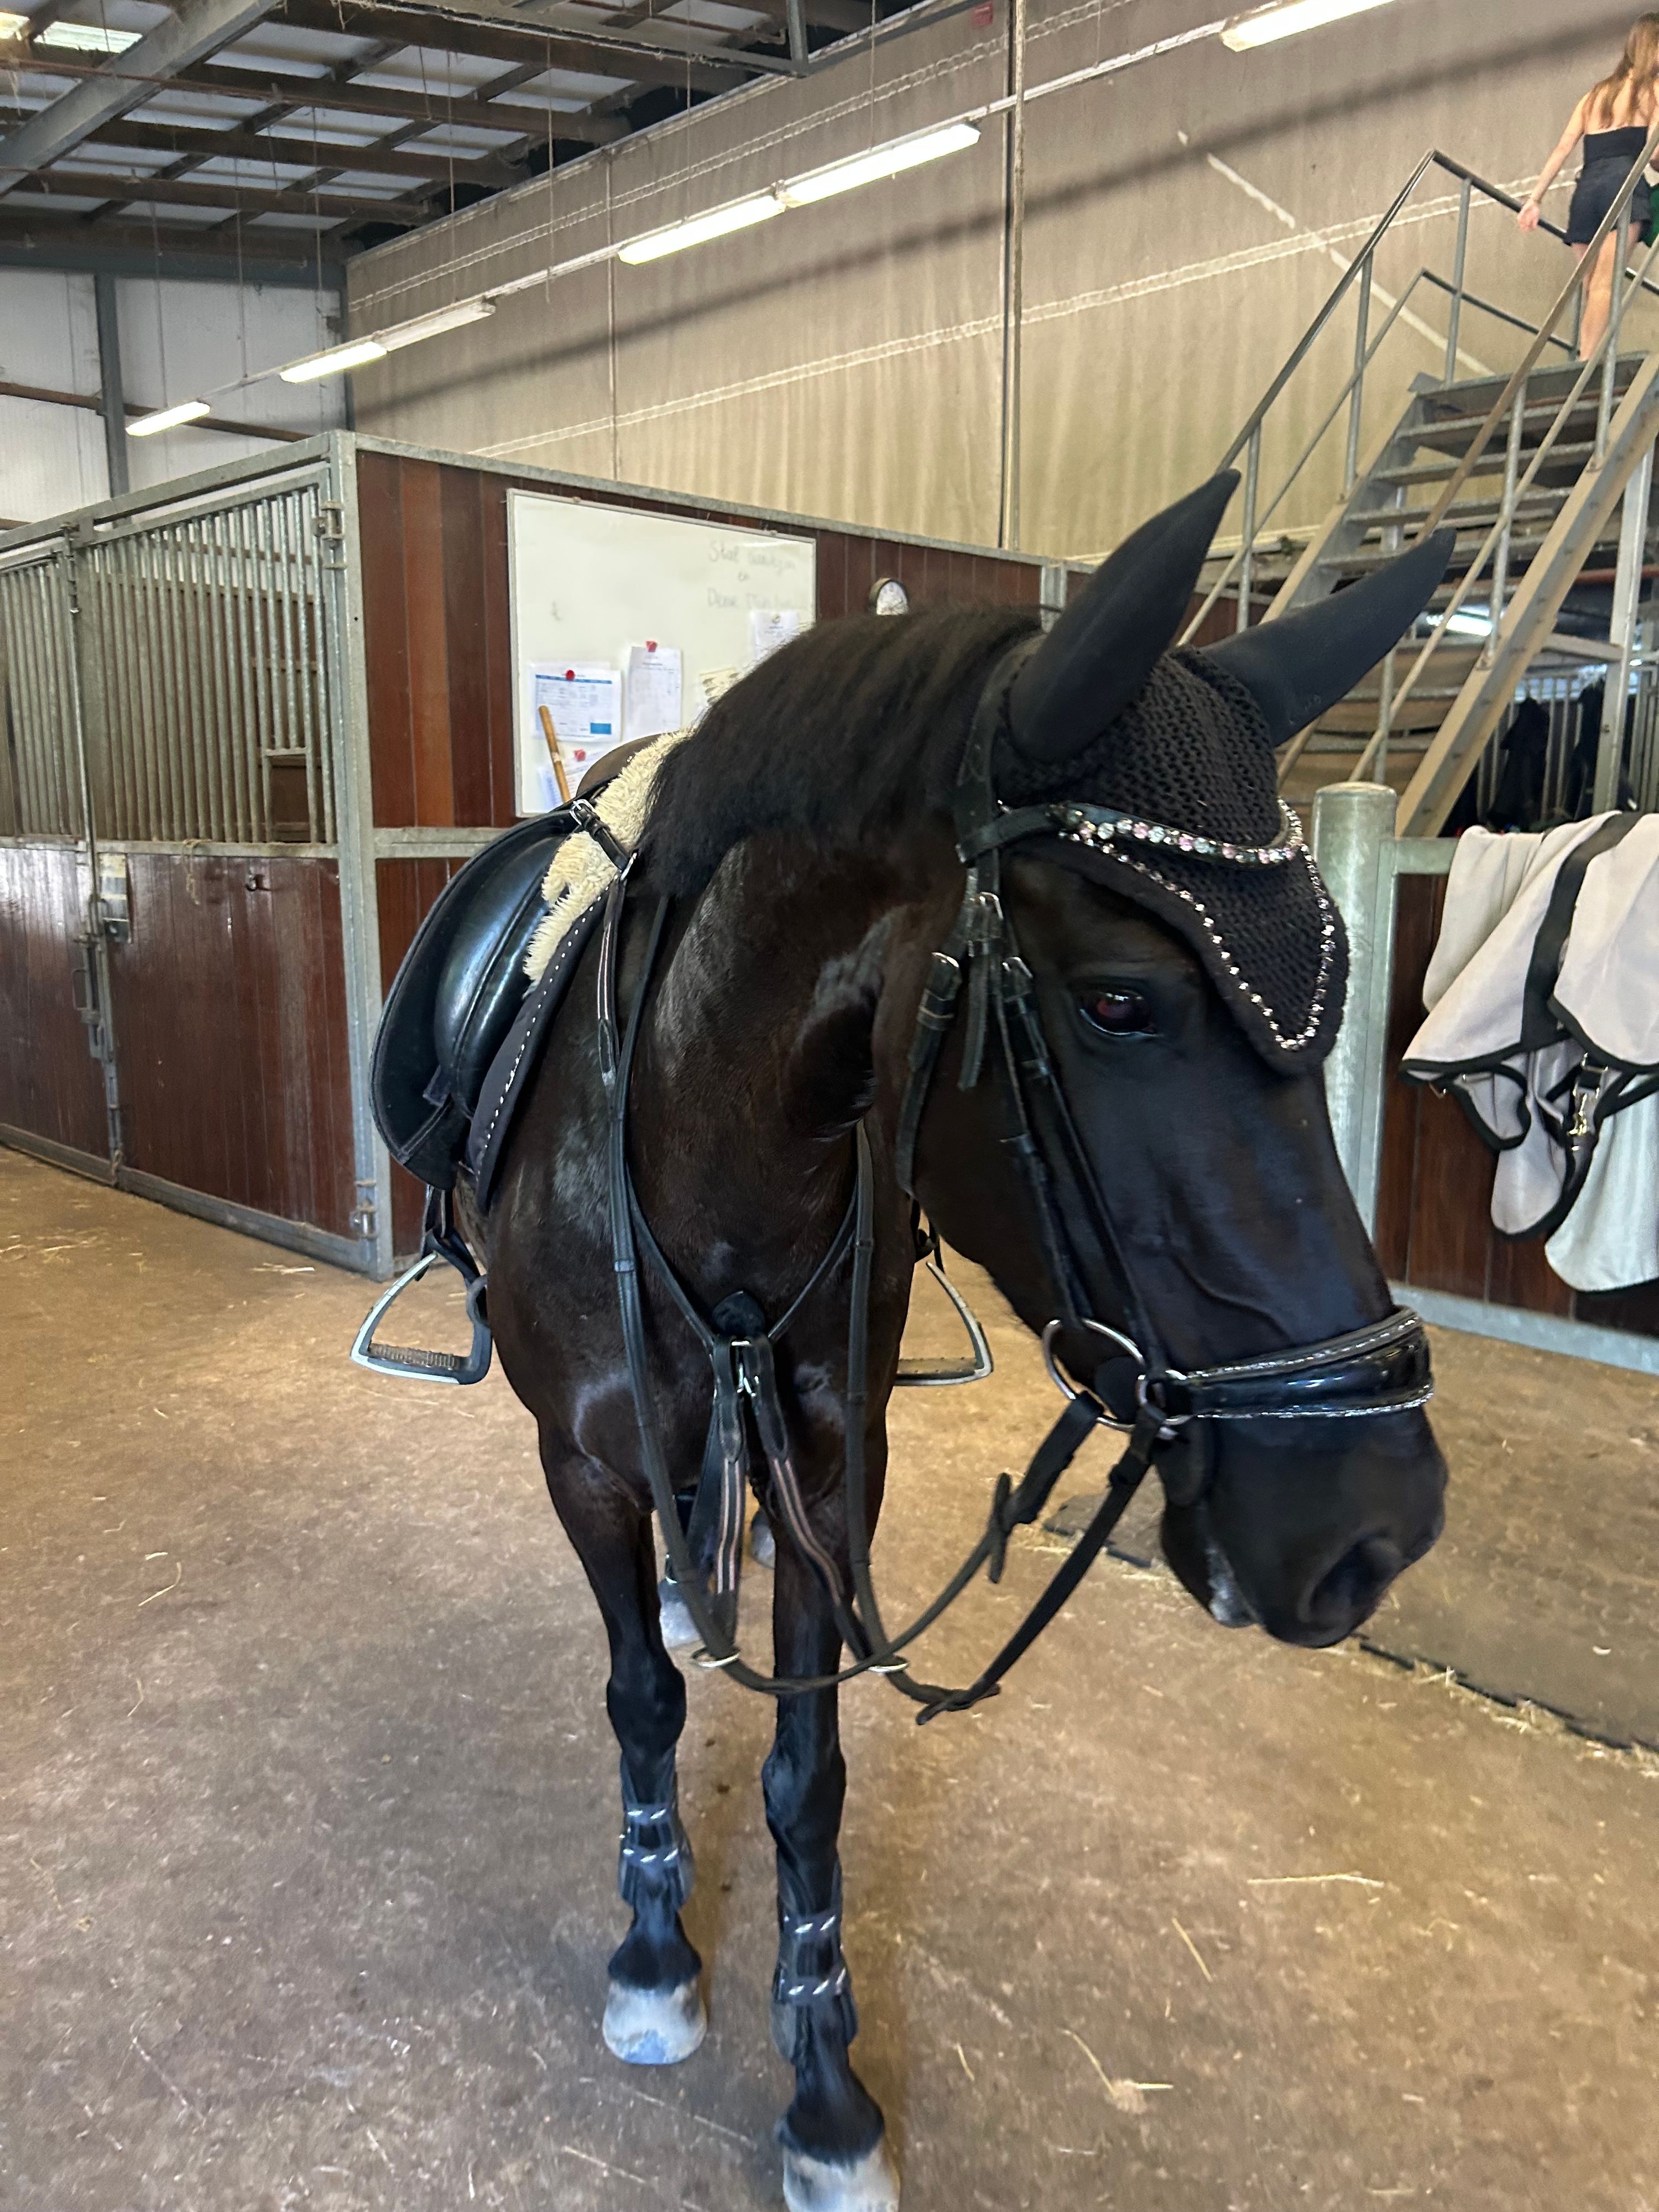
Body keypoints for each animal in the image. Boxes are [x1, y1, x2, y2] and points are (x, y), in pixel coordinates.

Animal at [463, 476, 1451, 2211]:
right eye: (1120, 1001)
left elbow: (808, 1778)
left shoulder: (825, 1477)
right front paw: (654, 1958)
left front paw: (823, 2091)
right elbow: (641, 1702)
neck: (705, 1157)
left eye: (1333, 988)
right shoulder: (578, 1465)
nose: (1375, 1524)